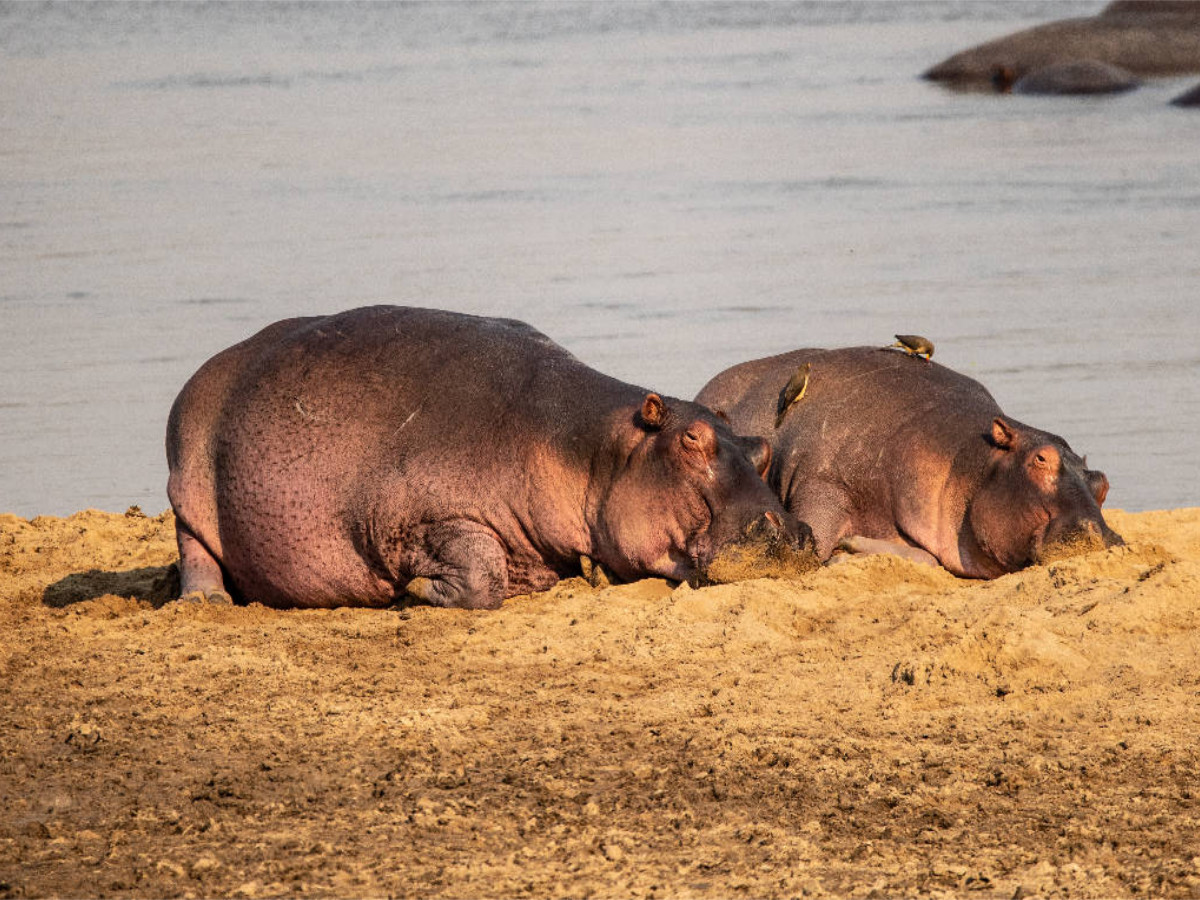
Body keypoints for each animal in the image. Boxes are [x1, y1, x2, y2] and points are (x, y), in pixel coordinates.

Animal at [166, 307, 806, 609]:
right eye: (691, 440)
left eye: (761, 448)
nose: (794, 533)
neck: (592, 446)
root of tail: (207, 367)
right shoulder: (422, 518)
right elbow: (480, 575)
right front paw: (415, 592)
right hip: (188, 485)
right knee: (194, 547)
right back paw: (207, 601)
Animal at [696, 345, 1123, 578]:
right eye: (1041, 459)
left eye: (1102, 482)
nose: (1105, 539)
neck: (969, 459)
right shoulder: (823, 484)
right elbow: (815, 544)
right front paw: (841, 552)